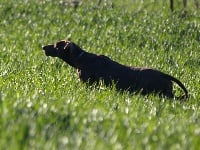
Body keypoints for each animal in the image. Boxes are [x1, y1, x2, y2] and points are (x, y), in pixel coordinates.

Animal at [42, 39, 189, 99]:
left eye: (56, 45)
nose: (43, 46)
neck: (81, 59)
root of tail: (164, 75)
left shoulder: (89, 84)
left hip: (161, 94)